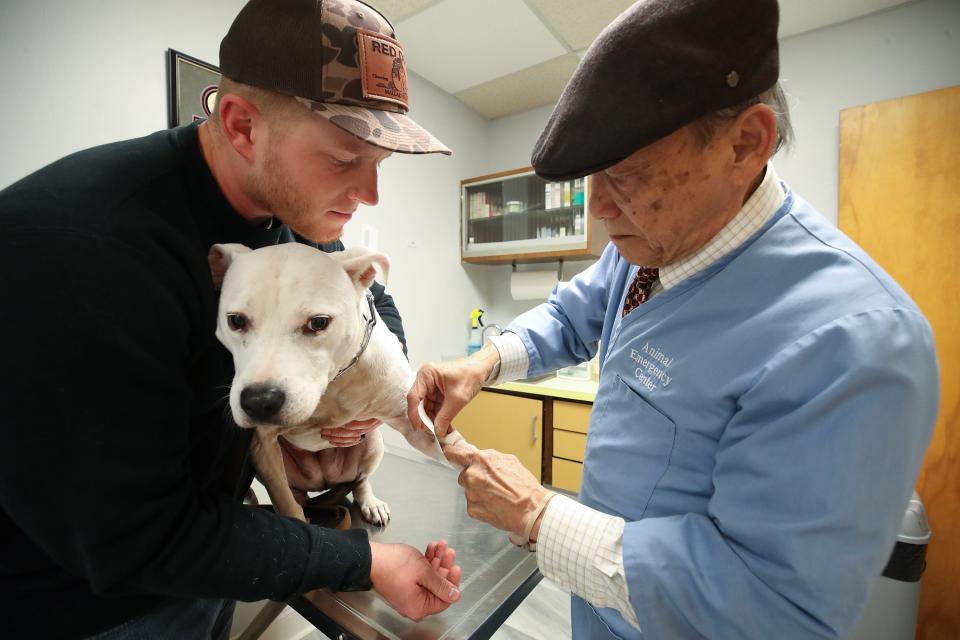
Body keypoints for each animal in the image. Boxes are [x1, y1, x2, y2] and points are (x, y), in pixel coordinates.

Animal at [208, 244, 470, 524]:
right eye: (235, 320)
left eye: (318, 322)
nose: (258, 402)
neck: (334, 382)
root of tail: (323, 480)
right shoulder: (264, 445)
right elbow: (287, 505)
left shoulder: (413, 420)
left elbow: (460, 450)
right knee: (296, 495)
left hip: (373, 444)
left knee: (360, 481)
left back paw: (370, 503)